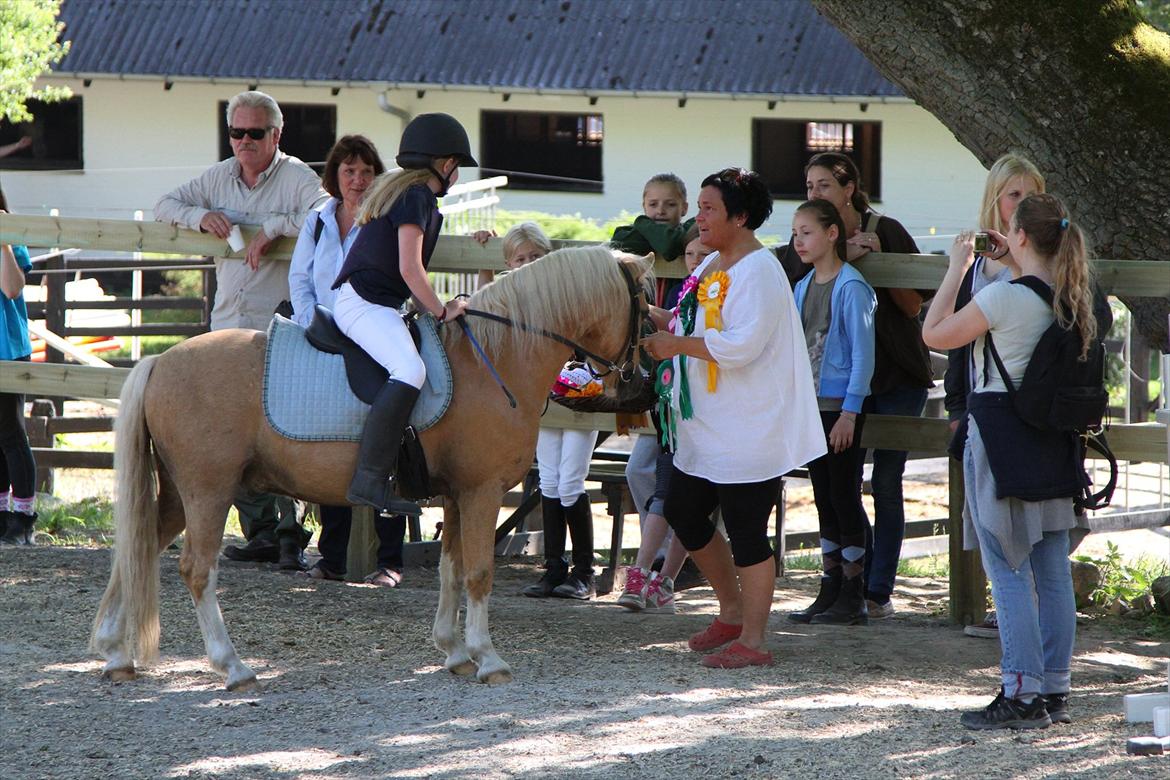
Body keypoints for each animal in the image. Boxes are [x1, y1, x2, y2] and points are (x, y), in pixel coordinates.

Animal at [91, 245, 655, 687]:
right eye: (646, 308)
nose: (640, 384)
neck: (495, 360)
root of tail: (160, 361)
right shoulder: (482, 491)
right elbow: (478, 573)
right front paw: (488, 658)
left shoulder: (456, 494)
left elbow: (451, 569)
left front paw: (454, 651)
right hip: (208, 491)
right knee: (195, 569)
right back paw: (232, 666)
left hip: (178, 494)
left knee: (137, 549)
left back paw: (116, 654)